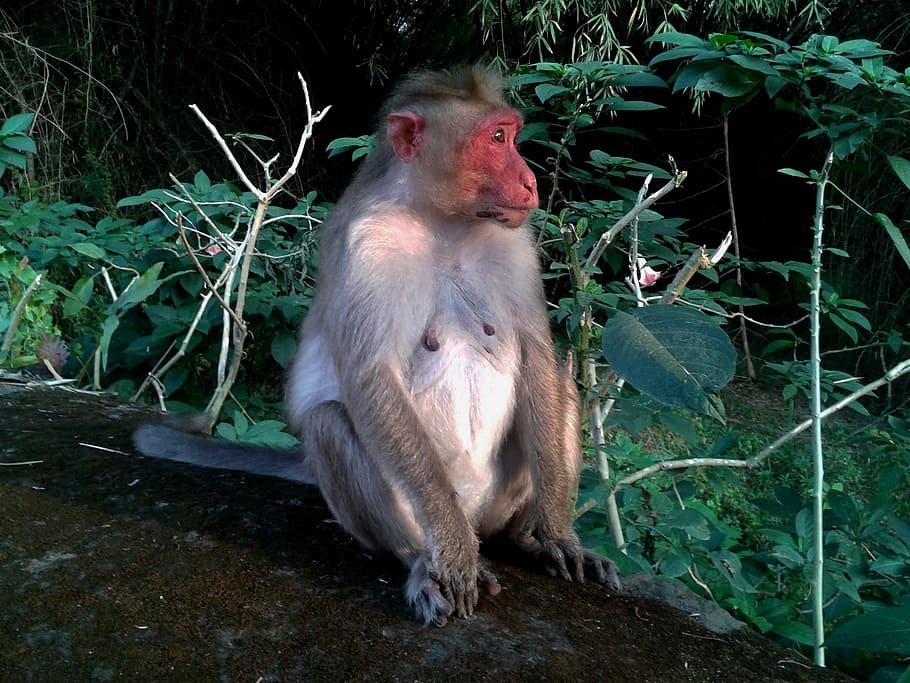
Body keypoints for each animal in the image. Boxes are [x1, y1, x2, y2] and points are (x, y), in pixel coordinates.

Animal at [134, 66, 620, 626]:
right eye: (498, 138)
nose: (530, 182)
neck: (442, 222)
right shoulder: (368, 247)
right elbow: (371, 377)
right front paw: (454, 556)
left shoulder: (515, 244)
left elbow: (540, 360)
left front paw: (559, 534)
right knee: (329, 423)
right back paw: (423, 563)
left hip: (499, 501)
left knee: (561, 385)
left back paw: (527, 539)